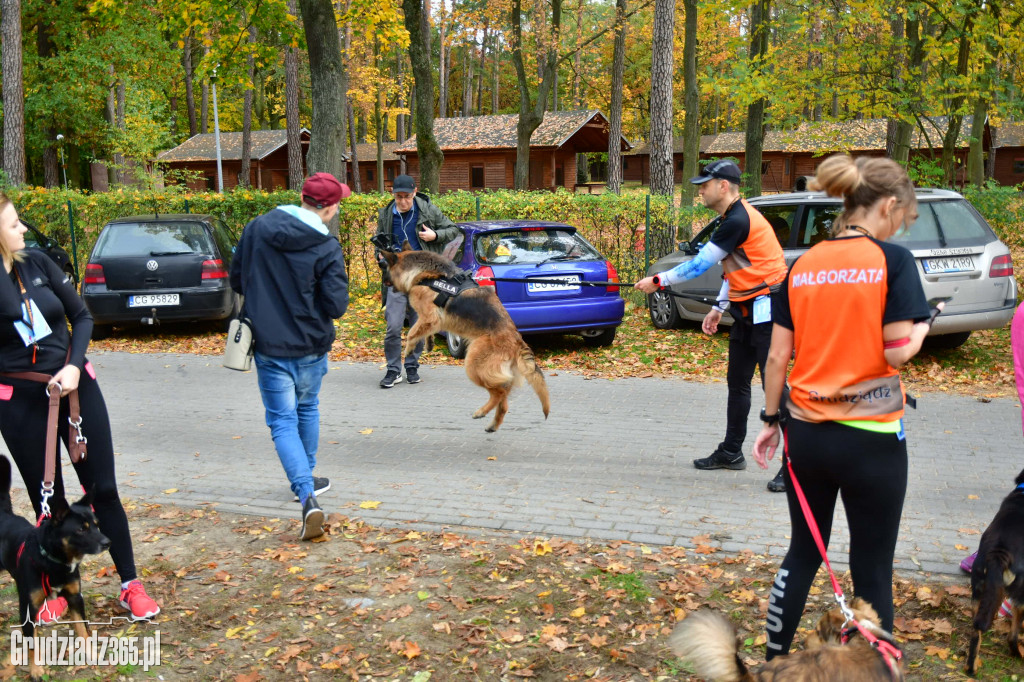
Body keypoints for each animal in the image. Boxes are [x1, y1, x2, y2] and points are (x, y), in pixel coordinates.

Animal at [0, 454, 110, 675]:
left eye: (96, 524)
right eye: (81, 529)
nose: (107, 542)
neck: (53, 561)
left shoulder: (75, 598)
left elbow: (83, 630)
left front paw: (92, 654)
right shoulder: (28, 609)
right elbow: (31, 643)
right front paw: (36, 670)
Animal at [378, 244, 552, 430]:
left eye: (385, 268)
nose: (383, 284)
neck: (422, 272)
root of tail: (516, 340)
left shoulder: (430, 316)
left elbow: (411, 333)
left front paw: (409, 349)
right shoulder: (431, 320)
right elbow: (423, 331)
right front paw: (429, 343)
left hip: (473, 365)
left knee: (500, 392)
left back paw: (481, 412)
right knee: (504, 400)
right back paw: (492, 424)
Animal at [962, 464, 1024, 671]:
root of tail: (999, 553)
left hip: (978, 593)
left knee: (975, 633)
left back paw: (971, 668)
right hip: (1021, 595)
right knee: (1012, 636)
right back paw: (1018, 656)